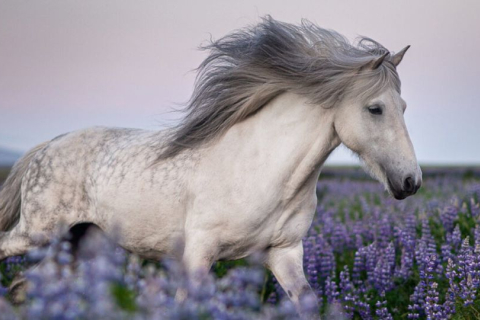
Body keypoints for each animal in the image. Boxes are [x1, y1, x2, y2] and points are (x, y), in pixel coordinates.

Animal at [0, 16, 420, 314]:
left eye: (404, 106)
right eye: (375, 108)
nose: (410, 181)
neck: (266, 171)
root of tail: (48, 145)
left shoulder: (284, 252)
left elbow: (305, 302)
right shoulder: (199, 253)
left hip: (76, 243)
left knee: (25, 287)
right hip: (39, 233)